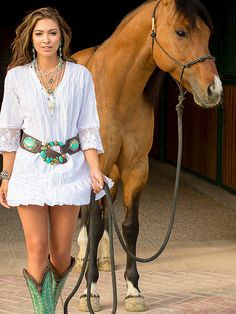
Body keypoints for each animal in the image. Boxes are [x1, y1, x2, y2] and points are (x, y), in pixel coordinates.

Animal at [72, 0, 223, 310]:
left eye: (207, 34)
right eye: (181, 32)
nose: (214, 89)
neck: (116, 93)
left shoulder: (136, 169)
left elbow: (130, 227)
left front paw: (133, 291)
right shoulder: (97, 165)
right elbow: (93, 223)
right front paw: (89, 291)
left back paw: (104, 258)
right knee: (85, 216)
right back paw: (82, 258)